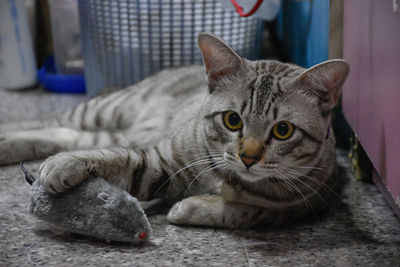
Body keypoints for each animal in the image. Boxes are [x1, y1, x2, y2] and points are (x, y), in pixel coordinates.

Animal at [0, 33, 348, 228]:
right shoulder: (160, 161)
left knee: (65, 135)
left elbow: (246, 212)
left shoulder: (299, 208)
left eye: (283, 130)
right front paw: (67, 163)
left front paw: (191, 208)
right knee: (52, 122)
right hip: (105, 109)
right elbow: (117, 159)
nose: (248, 157)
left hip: (108, 129)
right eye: (233, 120)